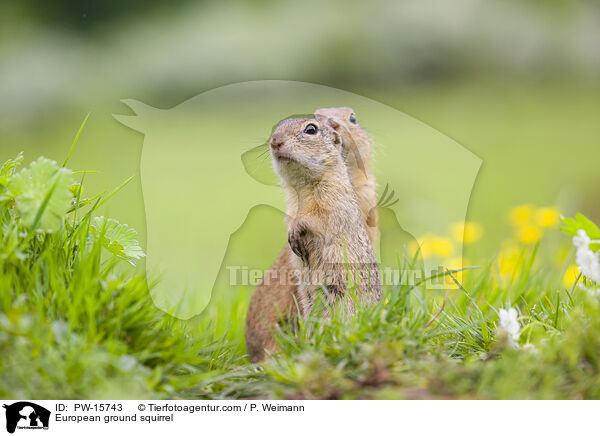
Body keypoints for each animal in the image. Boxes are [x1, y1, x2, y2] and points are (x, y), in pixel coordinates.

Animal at [243, 108, 376, 362]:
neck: (302, 187)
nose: (274, 142)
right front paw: (292, 239)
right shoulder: (291, 207)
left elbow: (315, 217)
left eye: (311, 129)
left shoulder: (332, 200)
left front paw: (297, 231)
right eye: (277, 126)